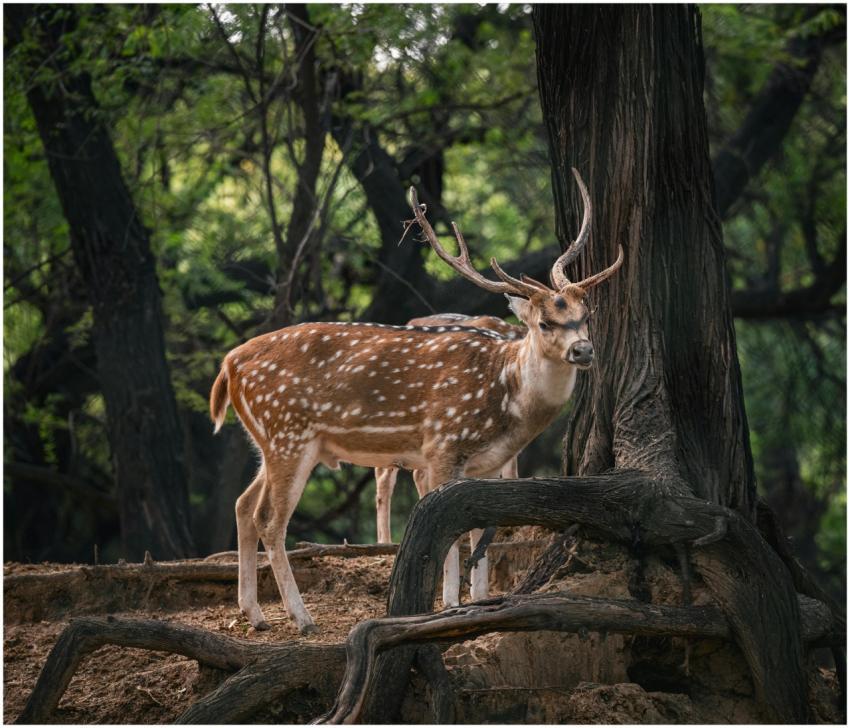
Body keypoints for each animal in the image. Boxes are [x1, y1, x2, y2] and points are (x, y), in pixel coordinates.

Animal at [209, 168, 623, 633]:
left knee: (244, 505)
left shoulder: (488, 463)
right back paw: (302, 618)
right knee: (269, 518)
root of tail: (229, 364)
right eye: (545, 322)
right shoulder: (442, 443)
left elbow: (480, 530)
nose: (583, 350)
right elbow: (448, 530)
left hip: (270, 439)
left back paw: (255, 614)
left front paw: (481, 602)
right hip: (288, 432)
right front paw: (448, 605)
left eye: (585, 315)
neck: (506, 399)